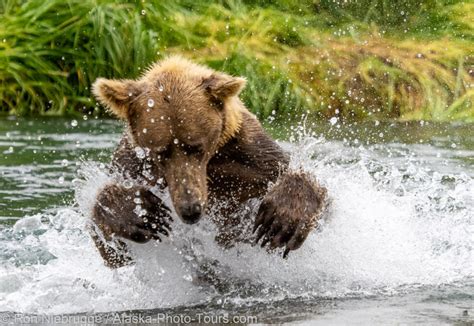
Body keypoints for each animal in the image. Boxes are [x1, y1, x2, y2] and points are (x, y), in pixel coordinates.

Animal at [90, 57, 326, 268]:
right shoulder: (133, 165)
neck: (213, 161)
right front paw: (143, 213)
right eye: (162, 152)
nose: (190, 209)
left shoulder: (251, 156)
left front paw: (280, 222)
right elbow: (109, 247)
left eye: (196, 146)